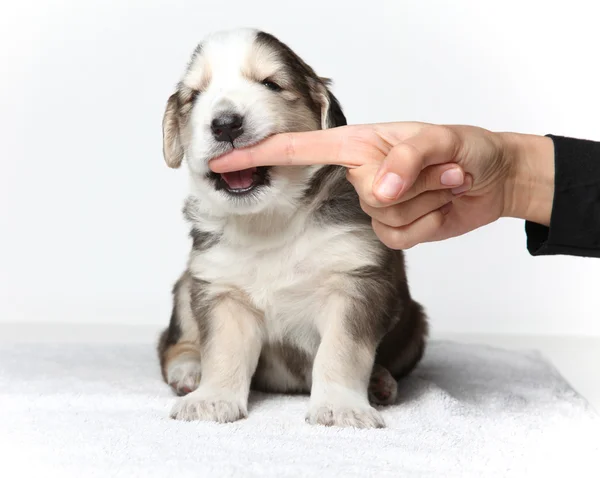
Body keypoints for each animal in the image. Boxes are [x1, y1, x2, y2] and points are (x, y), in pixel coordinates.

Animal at [157, 28, 428, 428]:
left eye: (271, 84)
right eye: (195, 95)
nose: (225, 123)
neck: (271, 221)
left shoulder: (354, 281)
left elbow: (342, 351)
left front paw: (340, 407)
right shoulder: (221, 289)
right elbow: (222, 350)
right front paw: (211, 399)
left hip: (416, 325)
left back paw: (380, 381)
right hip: (186, 286)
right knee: (173, 344)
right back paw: (189, 373)